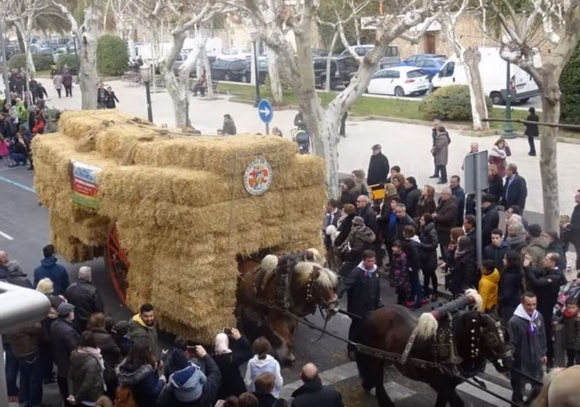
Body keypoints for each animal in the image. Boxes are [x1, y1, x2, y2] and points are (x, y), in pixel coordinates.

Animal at [356, 290, 516, 407]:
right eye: (491, 337)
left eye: (504, 334)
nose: (509, 362)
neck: (452, 345)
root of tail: (371, 312)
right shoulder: (440, 385)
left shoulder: (449, 386)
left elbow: (457, 403)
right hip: (374, 356)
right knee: (378, 378)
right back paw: (383, 400)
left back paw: (368, 385)